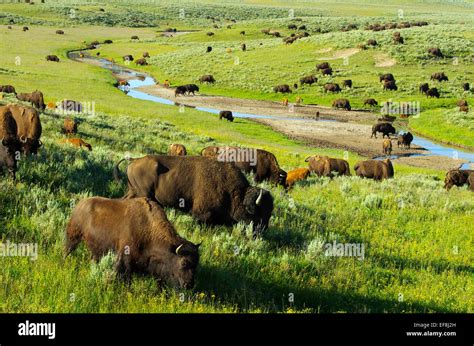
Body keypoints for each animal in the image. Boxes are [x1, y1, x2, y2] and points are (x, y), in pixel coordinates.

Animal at [114, 155, 274, 237]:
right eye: (257, 213)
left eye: (269, 213)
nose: (262, 230)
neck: (236, 193)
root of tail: (134, 160)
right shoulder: (202, 214)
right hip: (142, 193)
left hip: (132, 191)